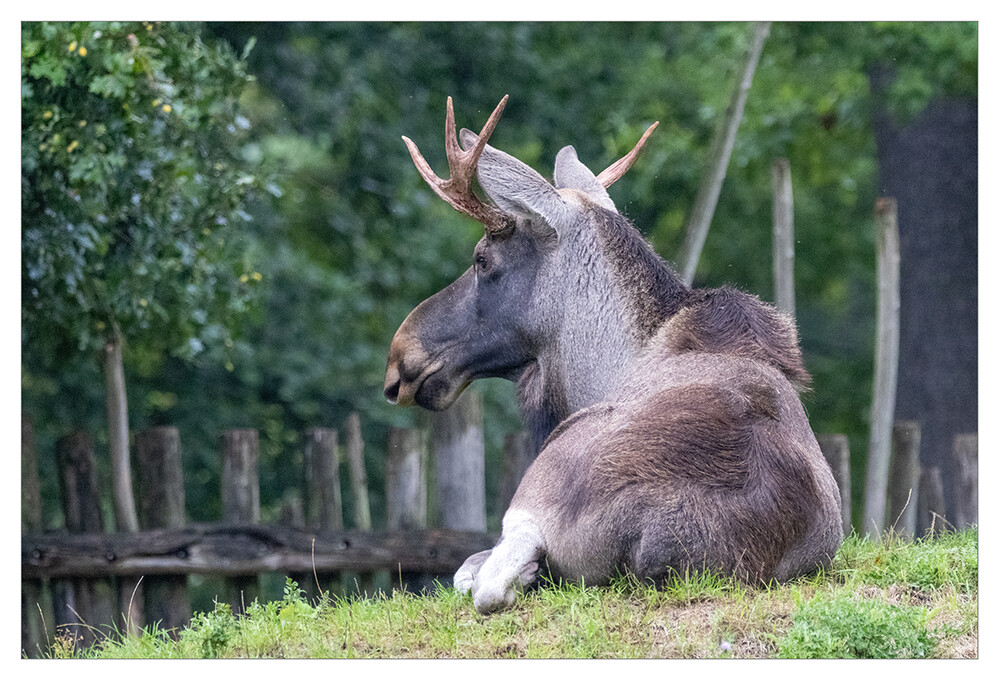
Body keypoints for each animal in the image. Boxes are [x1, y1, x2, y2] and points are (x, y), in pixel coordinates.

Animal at [382, 97, 844, 616]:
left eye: (482, 259)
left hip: (534, 494)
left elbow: (468, 571)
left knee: (489, 585)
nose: (400, 355)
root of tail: (659, 533)